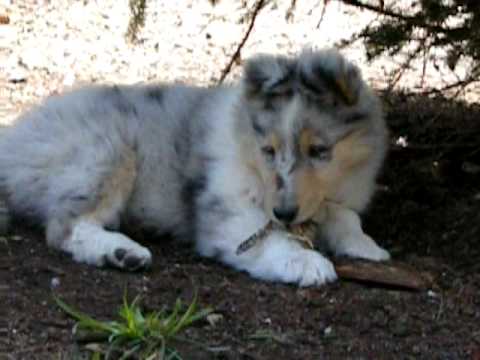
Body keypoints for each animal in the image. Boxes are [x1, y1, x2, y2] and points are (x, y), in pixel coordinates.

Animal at [0, 48, 390, 286]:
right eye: (269, 150)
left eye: (319, 150)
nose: (282, 213)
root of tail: (15, 138)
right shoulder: (226, 206)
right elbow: (266, 238)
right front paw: (307, 263)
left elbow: (343, 215)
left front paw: (368, 247)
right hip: (105, 151)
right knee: (66, 227)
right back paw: (123, 251)